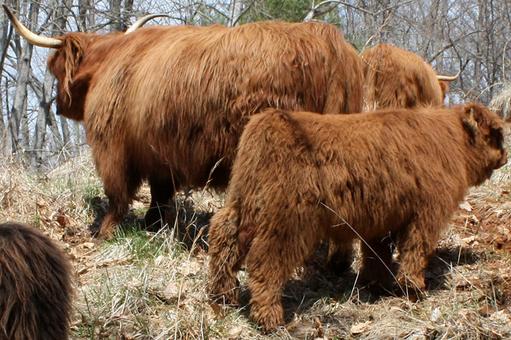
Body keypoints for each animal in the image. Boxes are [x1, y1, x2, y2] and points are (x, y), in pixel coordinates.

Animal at [3, 5, 364, 239]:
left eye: (56, 71)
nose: (58, 107)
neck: (110, 62)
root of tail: (328, 41)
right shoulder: (160, 155)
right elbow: (160, 195)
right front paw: (153, 226)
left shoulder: (112, 148)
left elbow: (117, 194)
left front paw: (104, 232)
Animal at [207, 102, 508, 330]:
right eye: (496, 135)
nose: (505, 157)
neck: (451, 141)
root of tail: (271, 119)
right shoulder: (425, 215)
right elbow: (415, 251)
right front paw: (414, 289)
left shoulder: (382, 221)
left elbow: (378, 256)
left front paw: (377, 286)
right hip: (288, 221)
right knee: (265, 262)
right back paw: (269, 318)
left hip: (242, 203)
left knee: (224, 239)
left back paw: (222, 296)